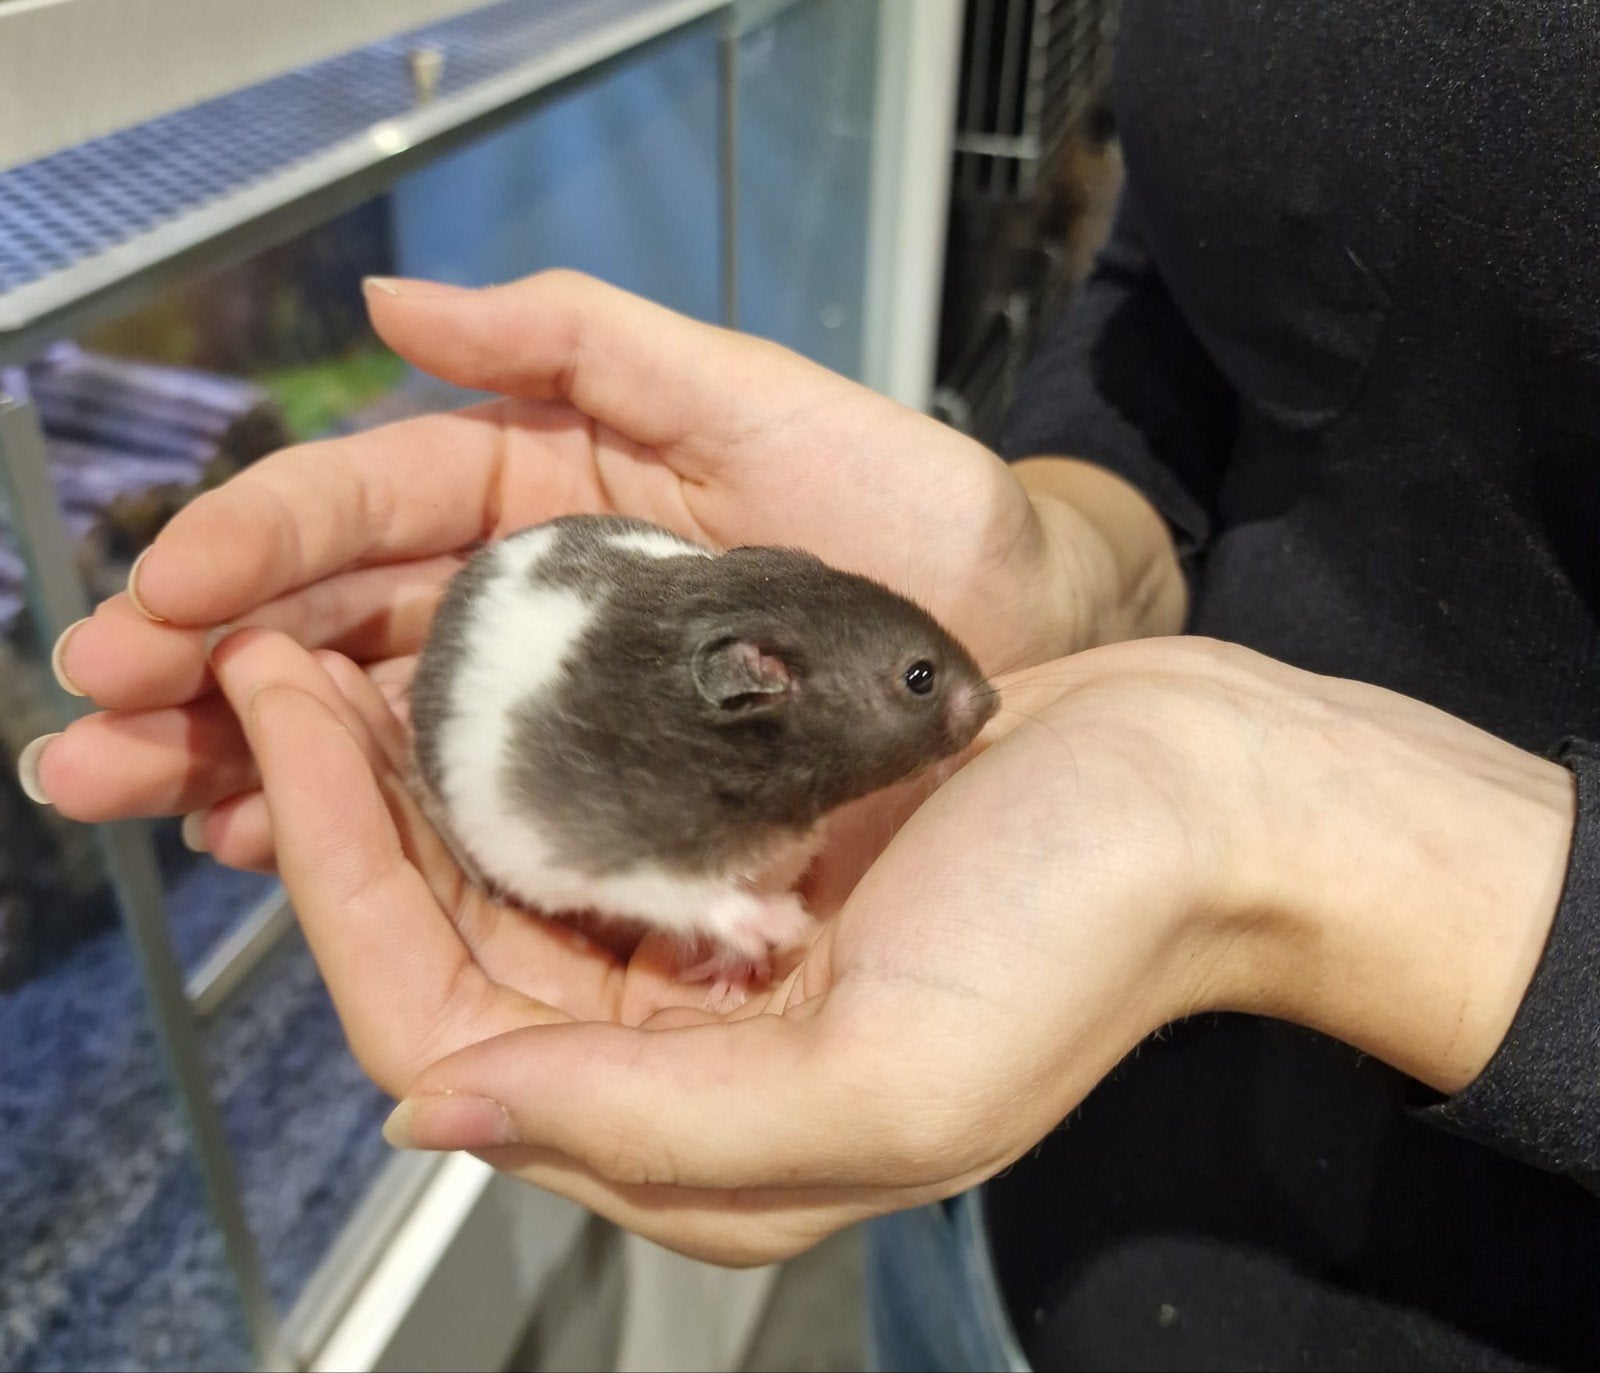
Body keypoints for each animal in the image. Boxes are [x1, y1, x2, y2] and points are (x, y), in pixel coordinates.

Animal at [408, 515, 997, 993]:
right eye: (919, 677)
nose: (992, 703)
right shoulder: (613, 852)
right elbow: (701, 898)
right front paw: (784, 926)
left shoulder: (780, 856)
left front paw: (734, 978)